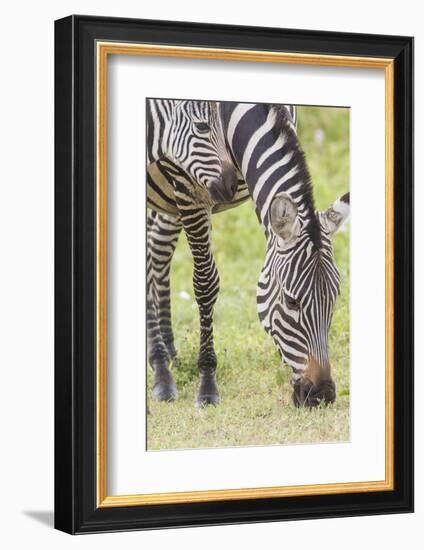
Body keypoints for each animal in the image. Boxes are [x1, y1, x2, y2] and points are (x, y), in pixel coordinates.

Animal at [147, 100, 350, 410]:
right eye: (291, 301)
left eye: (335, 297)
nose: (322, 394)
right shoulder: (189, 189)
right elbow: (205, 283)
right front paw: (207, 383)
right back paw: (161, 369)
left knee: (158, 248)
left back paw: (169, 354)